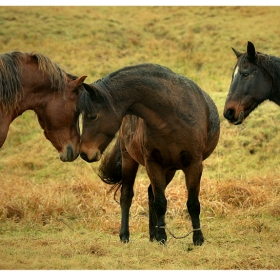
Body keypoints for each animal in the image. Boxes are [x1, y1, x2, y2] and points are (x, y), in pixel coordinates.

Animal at [77, 64, 220, 245]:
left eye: (93, 116)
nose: (84, 153)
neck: (171, 116)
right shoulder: (153, 164)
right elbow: (160, 202)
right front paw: (163, 237)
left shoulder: (194, 165)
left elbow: (192, 203)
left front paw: (198, 238)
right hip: (130, 160)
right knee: (127, 196)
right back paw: (126, 235)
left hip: (169, 170)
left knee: (151, 194)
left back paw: (153, 234)